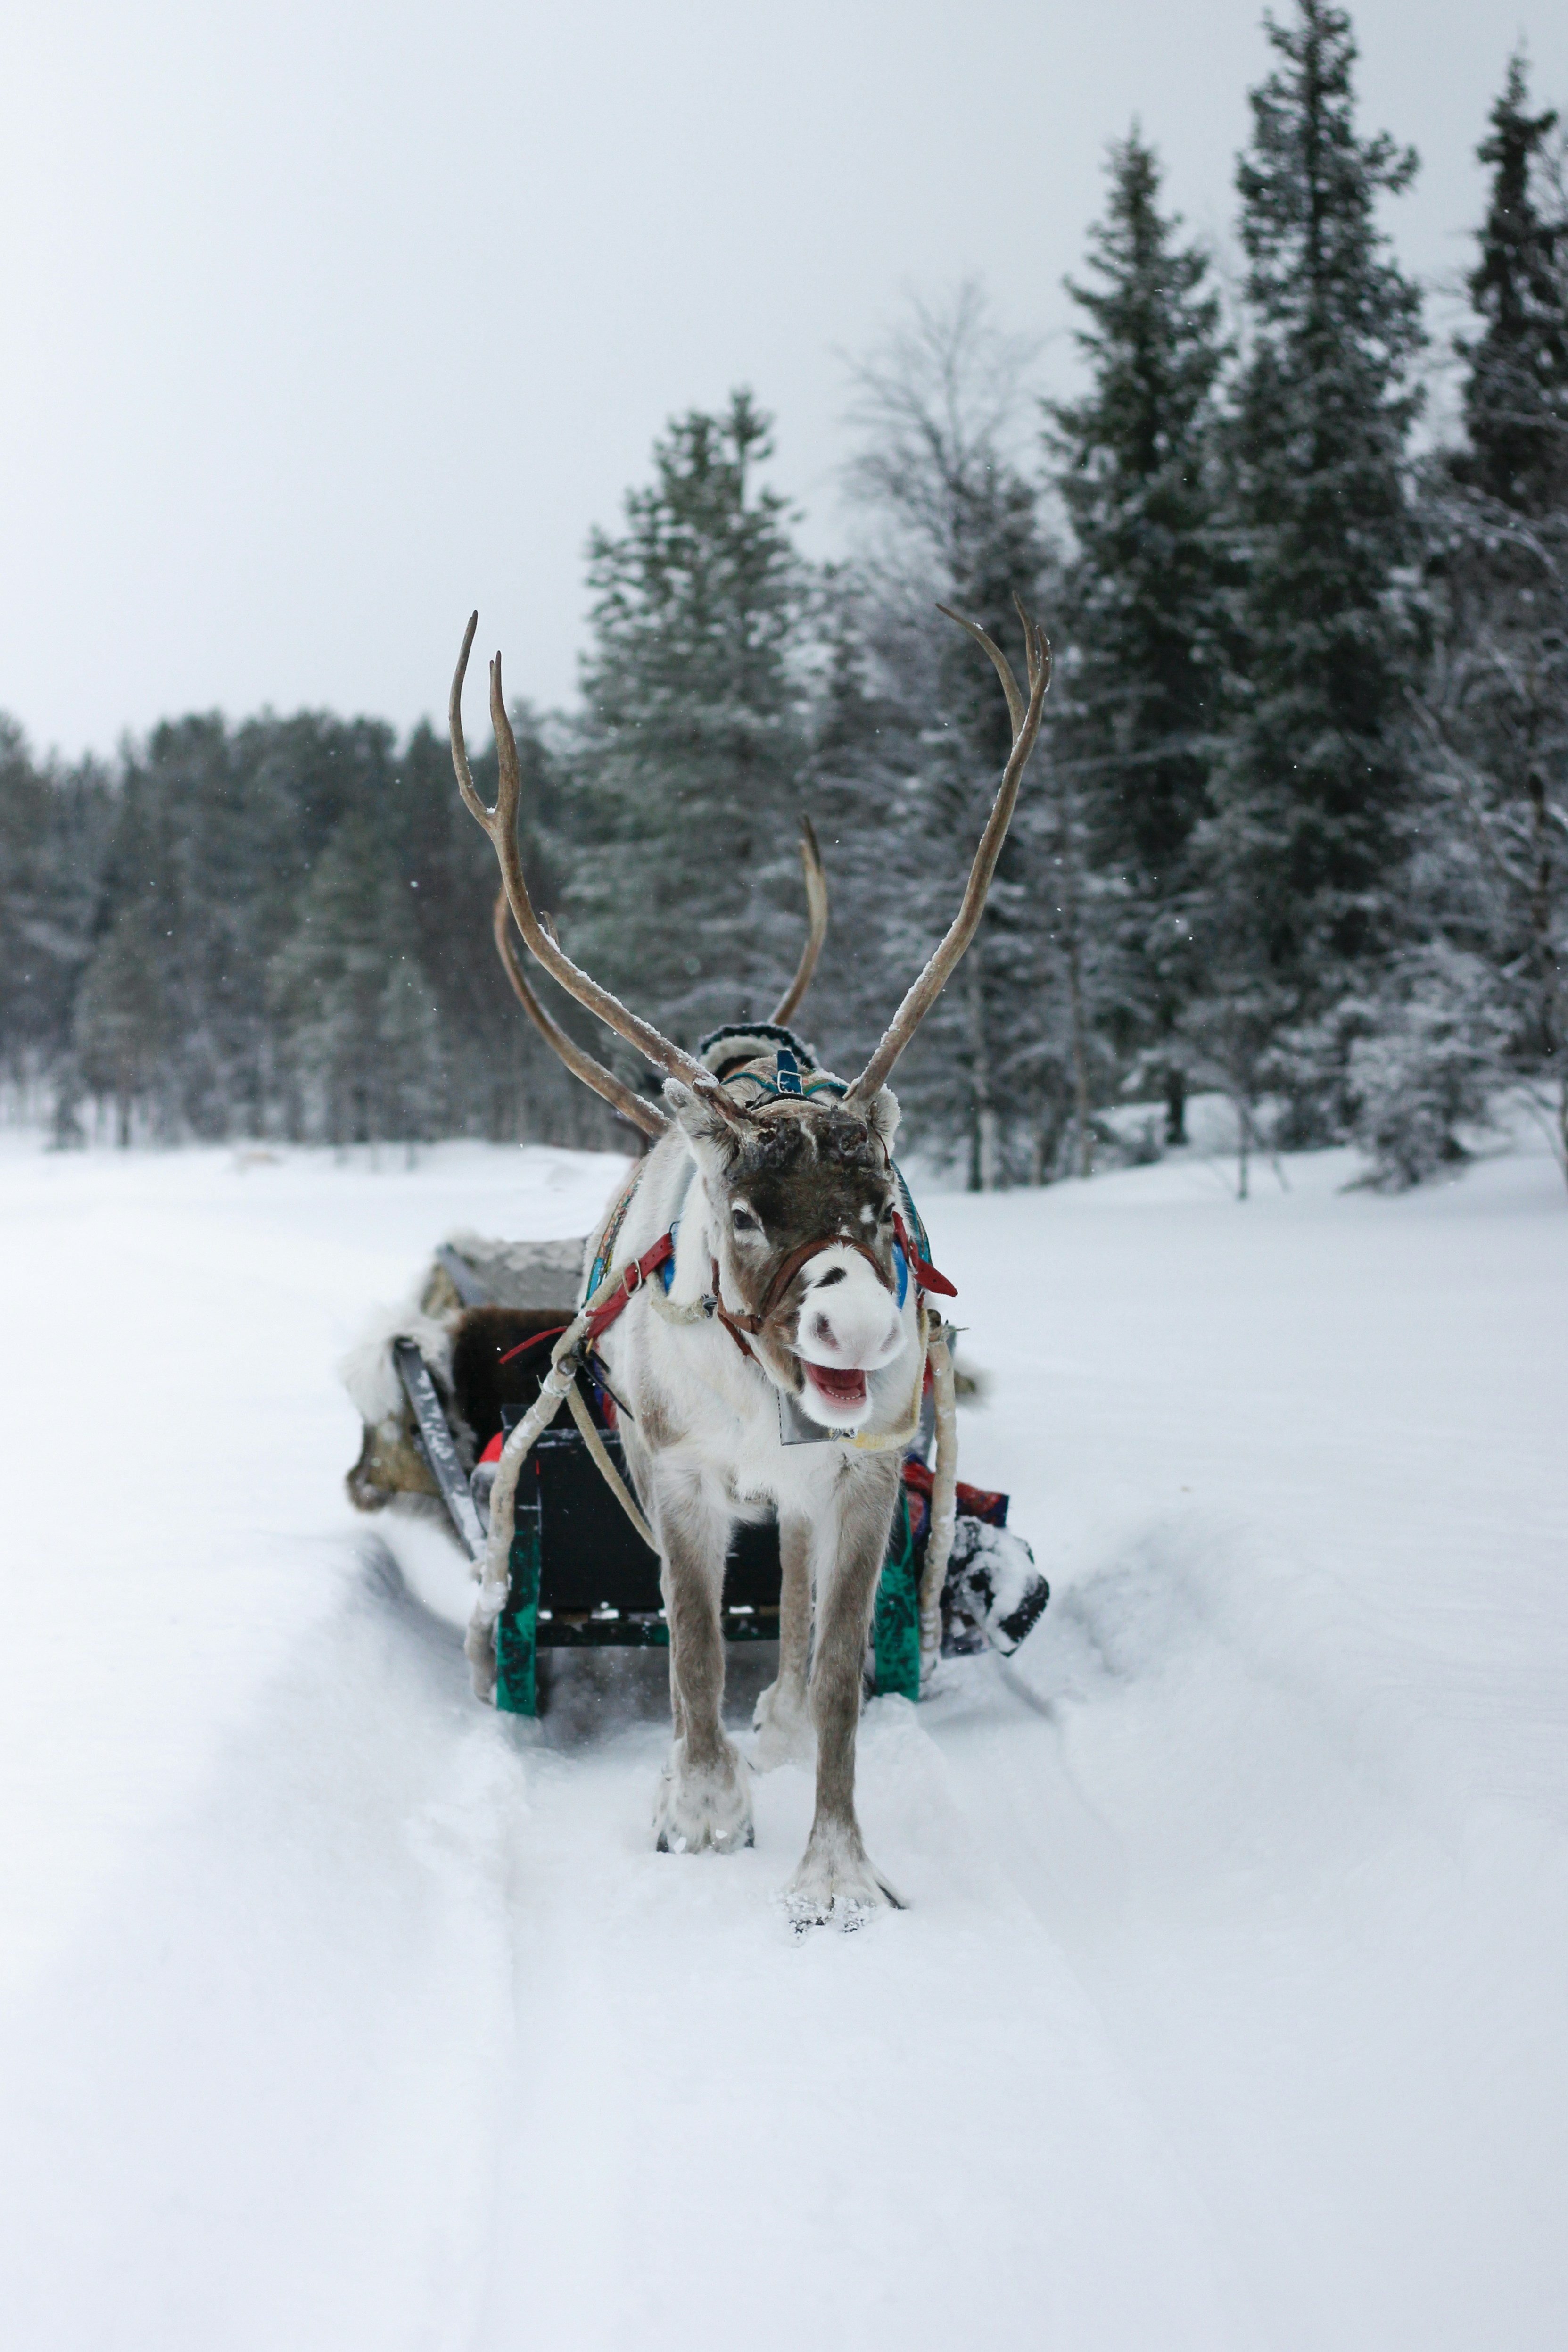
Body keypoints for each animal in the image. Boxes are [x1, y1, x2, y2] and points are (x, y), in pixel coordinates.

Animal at [450, 601, 1048, 1927]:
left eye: (880, 1204)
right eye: (743, 1211)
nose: (861, 1332)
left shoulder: (864, 1478)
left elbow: (833, 1670)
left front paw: (834, 1871)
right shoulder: (674, 1474)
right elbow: (690, 1643)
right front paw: (702, 1807)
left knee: (800, 1604)